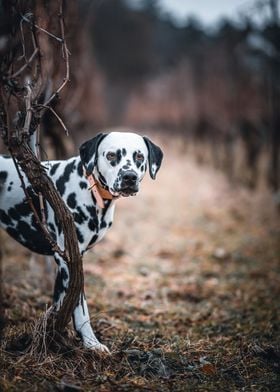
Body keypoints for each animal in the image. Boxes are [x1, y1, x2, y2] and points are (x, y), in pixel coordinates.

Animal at [0, 132, 163, 352]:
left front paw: (53, 334)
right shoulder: (70, 259)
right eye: (111, 155)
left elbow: (60, 301)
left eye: (139, 156)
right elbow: (80, 306)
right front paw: (91, 342)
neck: (90, 189)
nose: (129, 177)